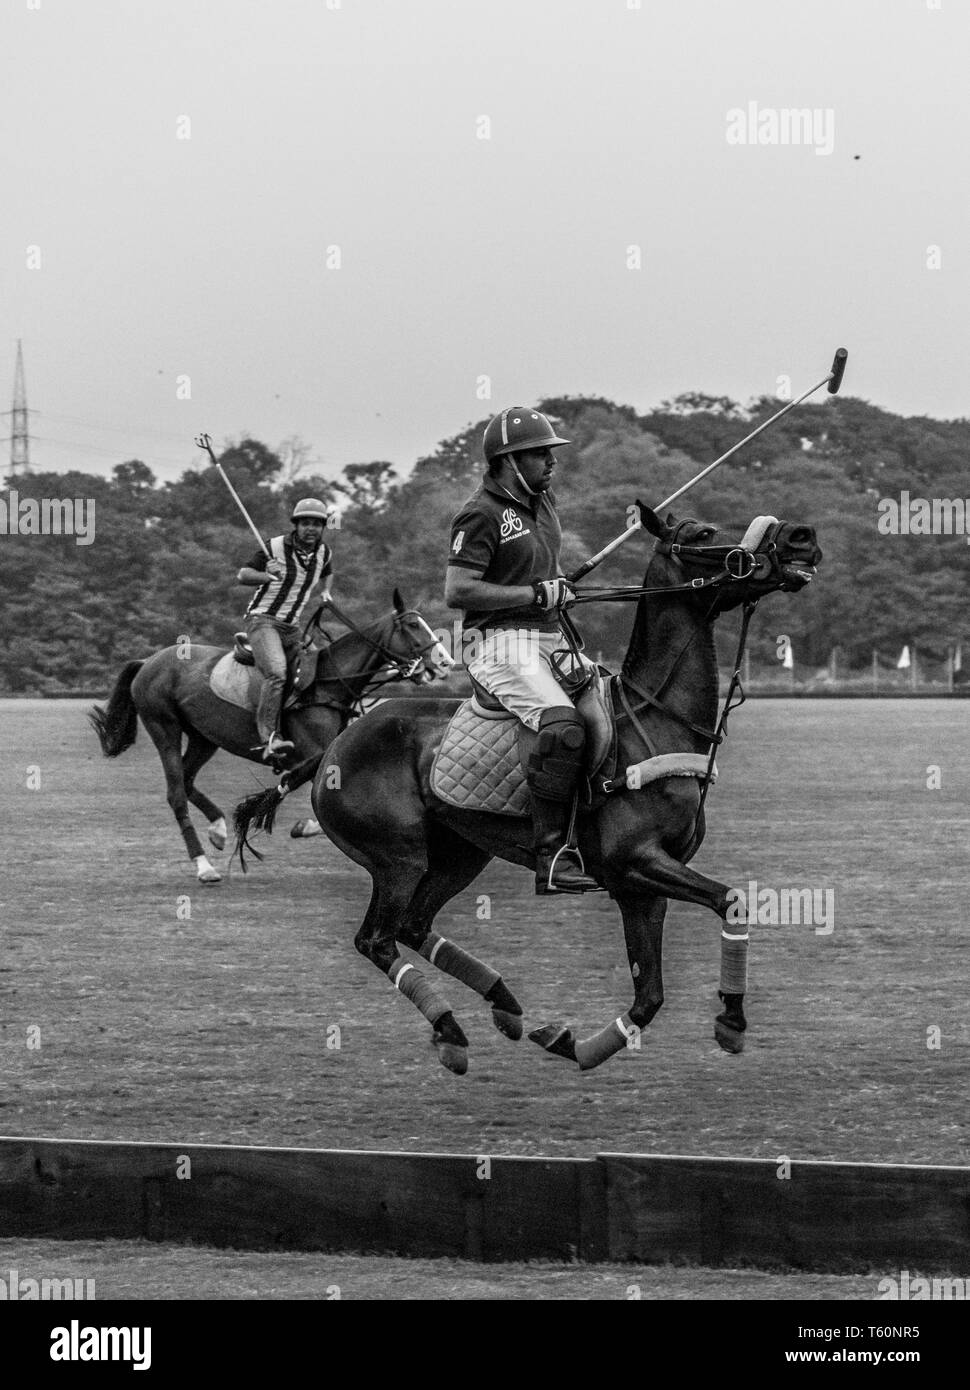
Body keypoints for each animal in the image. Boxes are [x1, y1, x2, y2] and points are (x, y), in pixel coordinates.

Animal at [88, 594, 450, 878]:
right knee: (176, 792)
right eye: (413, 625)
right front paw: (300, 824)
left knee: (188, 782)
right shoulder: (314, 753)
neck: (328, 683)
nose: (444, 663)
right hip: (164, 726)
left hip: (205, 737)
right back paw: (204, 865)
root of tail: (147, 660)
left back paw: (218, 830)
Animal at [305, 511, 817, 1073]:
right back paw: (452, 1028)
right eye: (701, 533)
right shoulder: (635, 862)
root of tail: (336, 746)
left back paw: (503, 1005)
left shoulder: (639, 887)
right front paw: (730, 1021)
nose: (800, 538)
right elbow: (728, 900)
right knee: (376, 939)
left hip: (460, 853)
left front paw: (570, 1043)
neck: (656, 718)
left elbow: (651, 995)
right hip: (398, 857)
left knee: (413, 927)